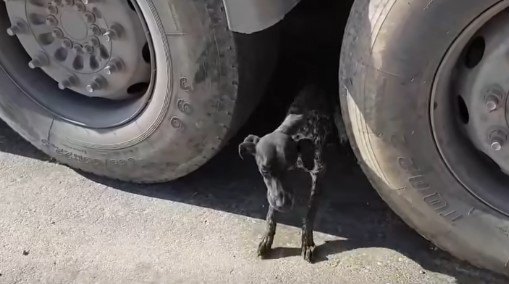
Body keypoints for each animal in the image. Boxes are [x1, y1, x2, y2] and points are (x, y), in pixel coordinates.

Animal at [239, 84, 338, 262]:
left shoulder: (318, 173)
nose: (282, 205)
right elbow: (271, 212)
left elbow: (310, 212)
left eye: (289, 169)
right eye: (264, 170)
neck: (296, 129)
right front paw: (267, 238)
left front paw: (307, 241)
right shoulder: (273, 192)